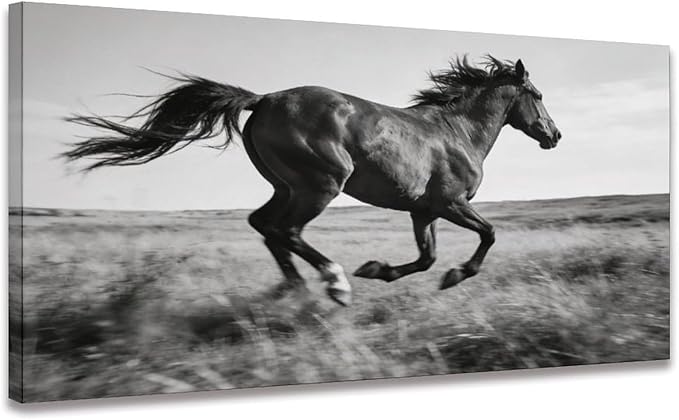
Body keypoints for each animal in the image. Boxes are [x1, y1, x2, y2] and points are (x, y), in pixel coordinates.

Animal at [63, 55, 561, 307]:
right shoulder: (451, 204)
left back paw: (295, 289)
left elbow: (425, 259)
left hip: (287, 187)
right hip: (320, 185)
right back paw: (333, 283)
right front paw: (455, 276)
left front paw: (378, 269)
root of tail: (264, 99)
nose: (554, 135)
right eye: (536, 94)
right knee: (285, 230)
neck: (455, 132)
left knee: (264, 226)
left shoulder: (423, 211)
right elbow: (488, 235)